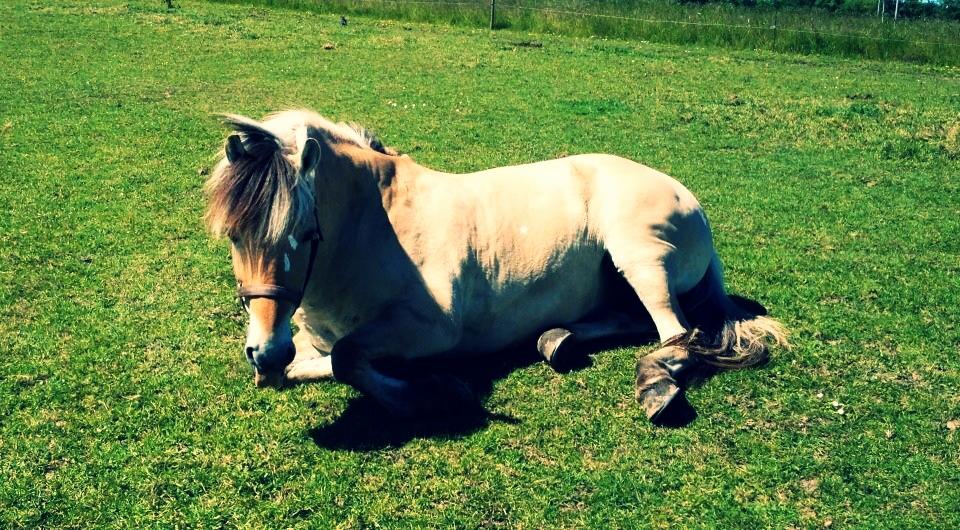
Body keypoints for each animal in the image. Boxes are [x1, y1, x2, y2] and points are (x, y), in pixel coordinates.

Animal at [204, 109, 788, 422]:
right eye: (233, 235)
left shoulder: (432, 328)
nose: (265, 347)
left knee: (676, 334)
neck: (375, 226)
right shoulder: (308, 344)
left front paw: (436, 394)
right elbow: (306, 367)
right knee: (634, 322)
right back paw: (558, 340)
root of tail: (689, 198)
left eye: (305, 234)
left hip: (640, 260)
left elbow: (348, 359)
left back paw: (655, 385)